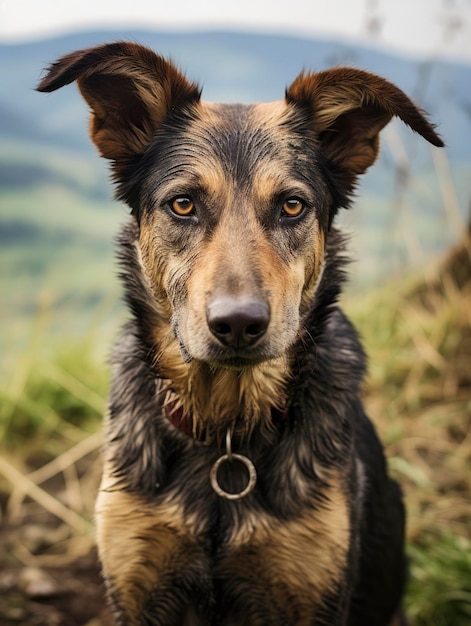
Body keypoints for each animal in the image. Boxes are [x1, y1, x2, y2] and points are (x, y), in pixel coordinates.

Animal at [36, 41, 442, 620]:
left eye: (292, 205)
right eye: (183, 204)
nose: (238, 324)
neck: (226, 428)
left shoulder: (308, 590)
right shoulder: (138, 585)